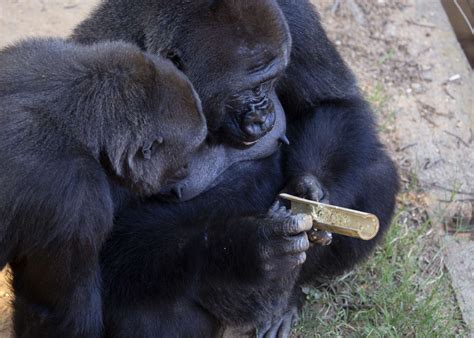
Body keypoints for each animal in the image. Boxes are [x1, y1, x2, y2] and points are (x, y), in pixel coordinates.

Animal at [72, 0, 400, 336]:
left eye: (271, 81)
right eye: (249, 89)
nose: (265, 114)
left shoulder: (295, 14)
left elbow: (332, 104)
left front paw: (312, 191)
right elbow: (102, 251)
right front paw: (250, 249)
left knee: (376, 173)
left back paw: (286, 304)